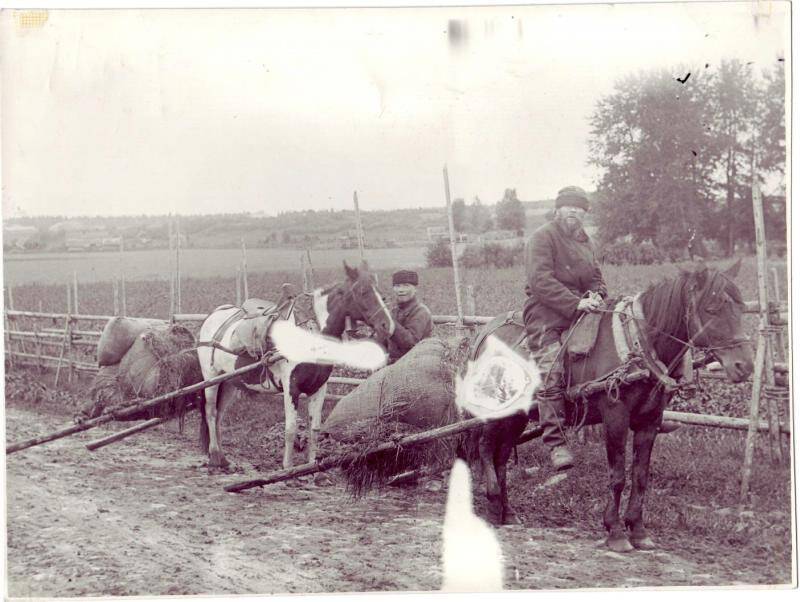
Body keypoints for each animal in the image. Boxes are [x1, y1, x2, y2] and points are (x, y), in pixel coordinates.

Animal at [195, 262, 394, 468]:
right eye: (363, 292)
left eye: (380, 290)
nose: (387, 325)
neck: (311, 337)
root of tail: (211, 317)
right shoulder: (291, 388)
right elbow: (291, 429)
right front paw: (287, 468)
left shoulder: (319, 388)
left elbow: (314, 429)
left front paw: (311, 467)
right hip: (211, 378)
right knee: (210, 412)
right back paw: (215, 455)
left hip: (229, 382)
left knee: (219, 414)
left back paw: (222, 458)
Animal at [466, 260, 752, 548]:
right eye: (712, 309)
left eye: (741, 308)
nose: (744, 366)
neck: (638, 344)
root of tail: (486, 332)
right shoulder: (616, 416)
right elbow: (617, 476)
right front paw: (614, 531)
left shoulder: (650, 421)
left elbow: (640, 477)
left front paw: (638, 530)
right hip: (497, 410)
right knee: (485, 448)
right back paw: (493, 504)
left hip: (518, 415)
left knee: (501, 456)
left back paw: (508, 512)